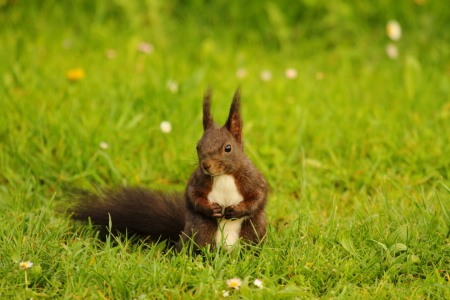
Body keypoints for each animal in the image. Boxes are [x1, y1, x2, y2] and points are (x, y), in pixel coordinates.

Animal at [71, 87, 268, 251]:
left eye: (228, 148)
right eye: (198, 146)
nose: (206, 165)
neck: (223, 175)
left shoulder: (252, 178)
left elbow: (259, 196)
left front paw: (237, 210)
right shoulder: (197, 180)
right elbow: (192, 195)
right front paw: (211, 209)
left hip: (253, 231)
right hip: (200, 229)